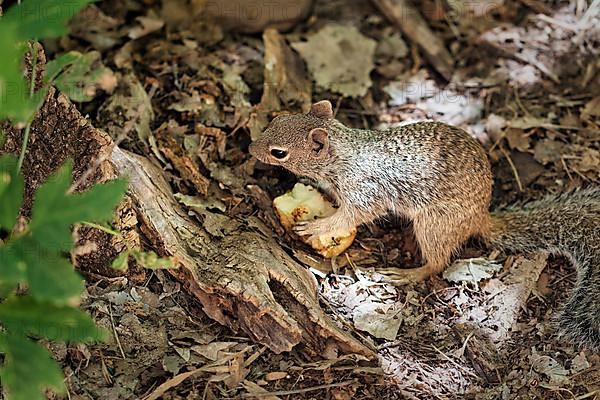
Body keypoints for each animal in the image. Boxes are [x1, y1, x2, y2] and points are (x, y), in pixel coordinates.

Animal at [248, 101, 600, 354]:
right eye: (277, 120)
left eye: (279, 152)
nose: (252, 148)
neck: (344, 152)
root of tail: (480, 216)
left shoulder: (365, 190)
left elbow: (354, 215)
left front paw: (317, 225)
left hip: (433, 225)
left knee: (438, 262)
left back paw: (405, 274)